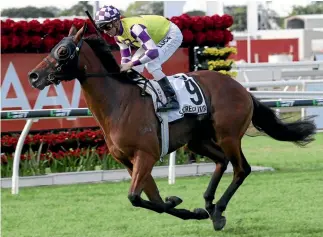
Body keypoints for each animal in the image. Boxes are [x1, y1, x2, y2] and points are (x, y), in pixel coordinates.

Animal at [27, 25, 316, 231]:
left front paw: (184, 206)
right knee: (222, 162)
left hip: (229, 135)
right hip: (198, 140)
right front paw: (186, 208)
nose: (33, 76)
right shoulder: (129, 161)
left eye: (62, 51)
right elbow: (152, 201)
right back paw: (210, 206)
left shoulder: (147, 154)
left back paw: (219, 211)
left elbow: (135, 198)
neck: (119, 103)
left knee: (241, 168)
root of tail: (242, 89)